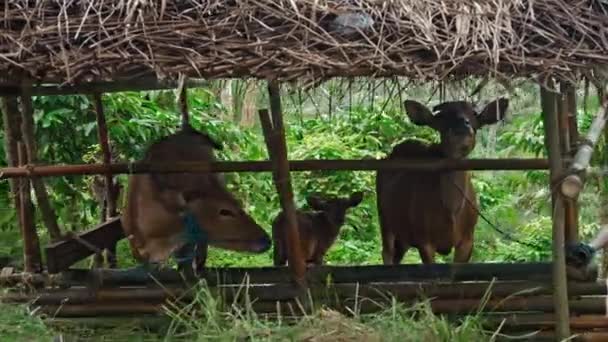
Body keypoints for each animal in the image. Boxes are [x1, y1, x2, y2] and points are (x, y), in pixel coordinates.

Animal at [376, 99, 508, 264]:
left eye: (473, 115)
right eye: (442, 118)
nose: (462, 127)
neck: (451, 210)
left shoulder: (467, 240)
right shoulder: (424, 241)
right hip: (384, 219)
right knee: (386, 253)